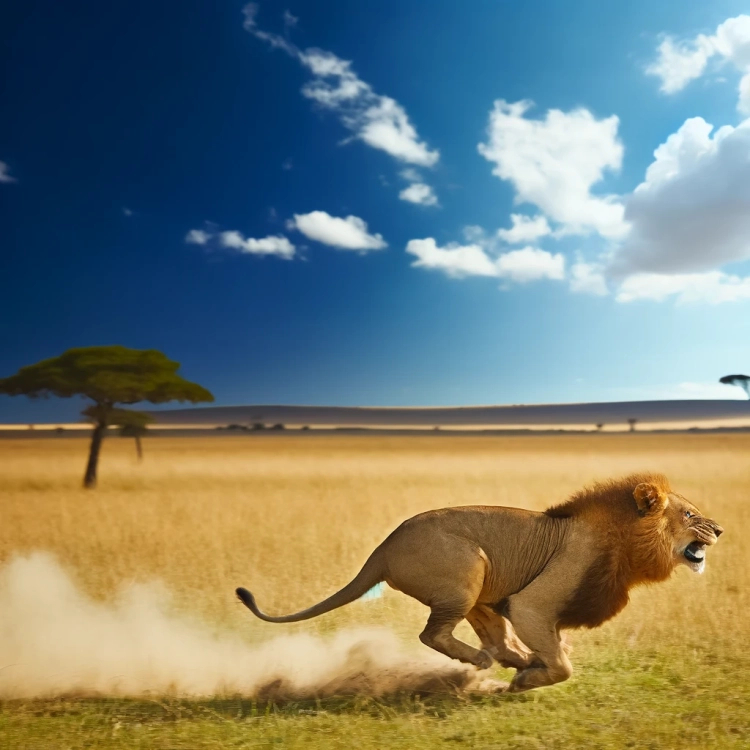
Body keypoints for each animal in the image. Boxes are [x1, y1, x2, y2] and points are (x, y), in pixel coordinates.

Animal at [236, 473, 723, 692]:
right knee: (434, 634)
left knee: (494, 637)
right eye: (690, 514)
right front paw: (527, 681)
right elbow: (562, 665)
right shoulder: (532, 604)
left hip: (484, 586)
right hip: (467, 571)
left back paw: (512, 660)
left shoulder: (520, 607)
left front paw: (530, 668)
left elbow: (553, 649)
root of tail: (383, 549)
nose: (719, 529)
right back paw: (485, 662)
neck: (622, 543)